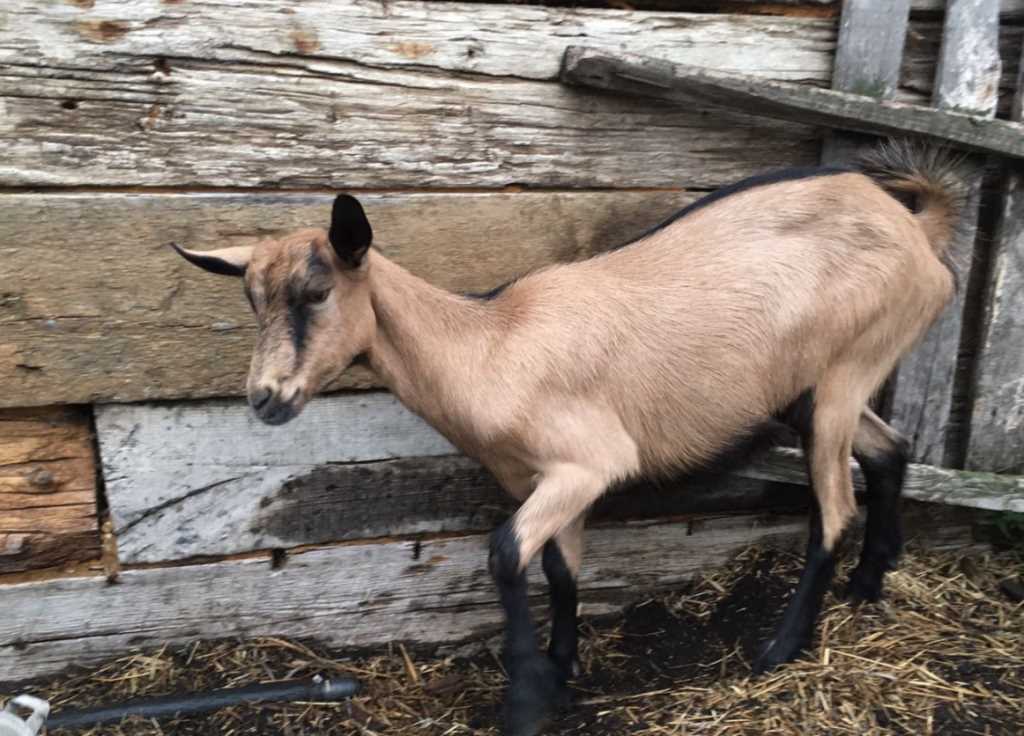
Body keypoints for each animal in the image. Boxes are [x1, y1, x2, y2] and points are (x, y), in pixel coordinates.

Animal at [172, 141, 962, 732]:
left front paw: (525, 702)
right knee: (891, 451)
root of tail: (918, 232)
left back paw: (782, 646)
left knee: (834, 510)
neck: (489, 345)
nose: (266, 399)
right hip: (825, 387)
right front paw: (561, 670)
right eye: (252, 301)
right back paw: (869, 581)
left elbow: (504, 554)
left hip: (846, 372)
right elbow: (559, 569)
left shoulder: (588, 464)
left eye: (316, 293)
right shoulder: (544, 479)